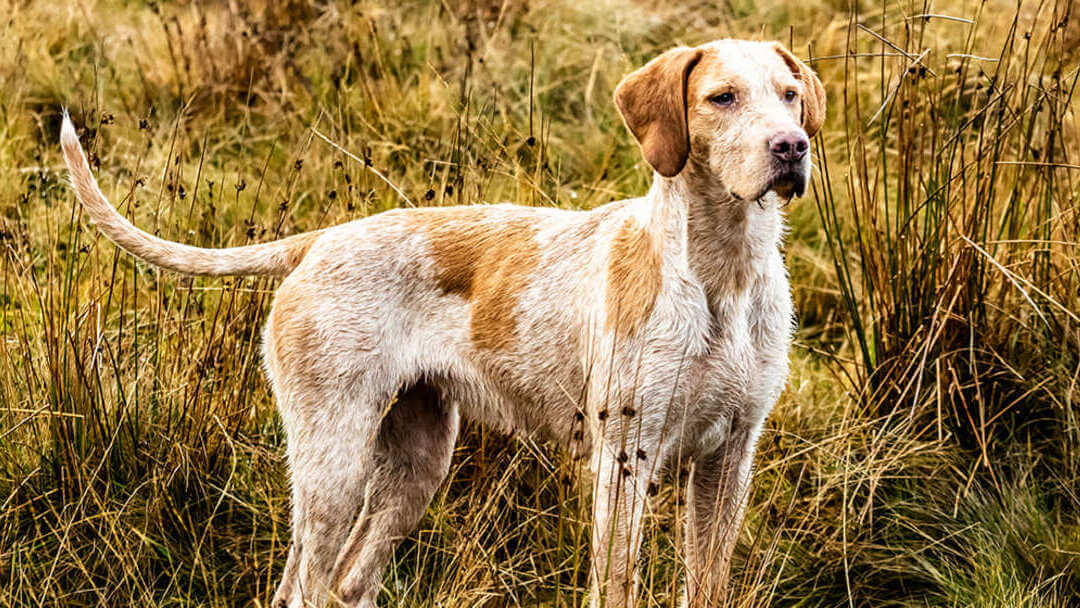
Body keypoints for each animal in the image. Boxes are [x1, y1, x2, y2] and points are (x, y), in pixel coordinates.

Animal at [63, 39, 825, 608]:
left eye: (789, 94)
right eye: (721, 98)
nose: (791, 147)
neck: (724, 274)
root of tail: (320, 241)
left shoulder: (728, 460)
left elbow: (709, 580)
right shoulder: (624, 461)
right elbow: (616, 585)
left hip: (417, 461)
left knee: (347, 583)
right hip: (333, 465)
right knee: (303, 588)